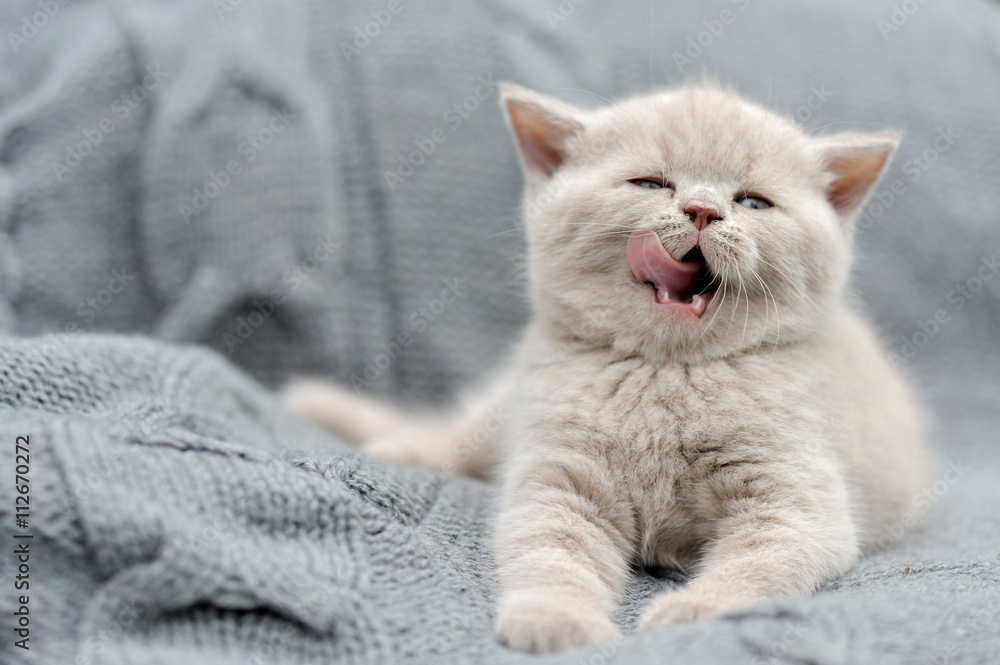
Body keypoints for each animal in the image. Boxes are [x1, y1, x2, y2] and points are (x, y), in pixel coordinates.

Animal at [280, 81, 928, 652]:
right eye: (651, 182)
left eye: (751, 202)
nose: (702, 210)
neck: (667, 373)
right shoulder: (558, 476)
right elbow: (551, 553)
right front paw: (555, 619)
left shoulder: (794, 503)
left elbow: (758, 564)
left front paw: (694, 610)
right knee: (461, 433)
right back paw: (400, 447)